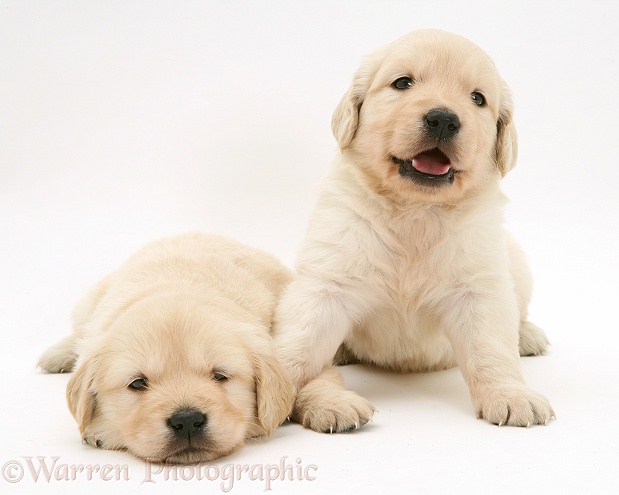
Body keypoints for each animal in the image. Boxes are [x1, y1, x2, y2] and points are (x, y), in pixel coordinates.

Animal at [274, 30, 556, 434]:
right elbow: (299, 342)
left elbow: (491, 348)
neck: (415, 212)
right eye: (402, 83)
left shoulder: (479, 287)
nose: (443, 119)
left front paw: (510, 393)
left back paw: (527, 335)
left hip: (516, 262)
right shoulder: (327, 282)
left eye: (477, 98)